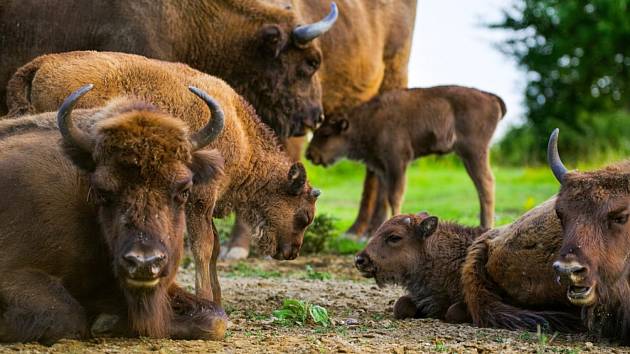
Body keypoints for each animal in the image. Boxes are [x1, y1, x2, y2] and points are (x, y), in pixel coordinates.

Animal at [0, 85, 227, 342]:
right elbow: (66, 314)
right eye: (102, 191)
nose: (144, 262)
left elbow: (215, 320)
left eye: (184, 189)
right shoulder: (13, 271)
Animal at [1, 51, 320, 300]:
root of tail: (42, 64)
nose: (291, 252)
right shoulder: (200, 198)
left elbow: (212, 246)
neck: (239, 128)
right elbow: (204, 247)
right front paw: (207, 298)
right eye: (303, 216)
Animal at [308, 86, 508, 230]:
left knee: (486, 183)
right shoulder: (383, 169)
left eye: (326, 134)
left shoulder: (397, 162)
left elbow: (395, 195)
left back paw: (486, 226)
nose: (310, 154)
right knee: (481, 185)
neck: (367, 121)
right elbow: (385, 197)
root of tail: (491, 98)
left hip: (474, 152)